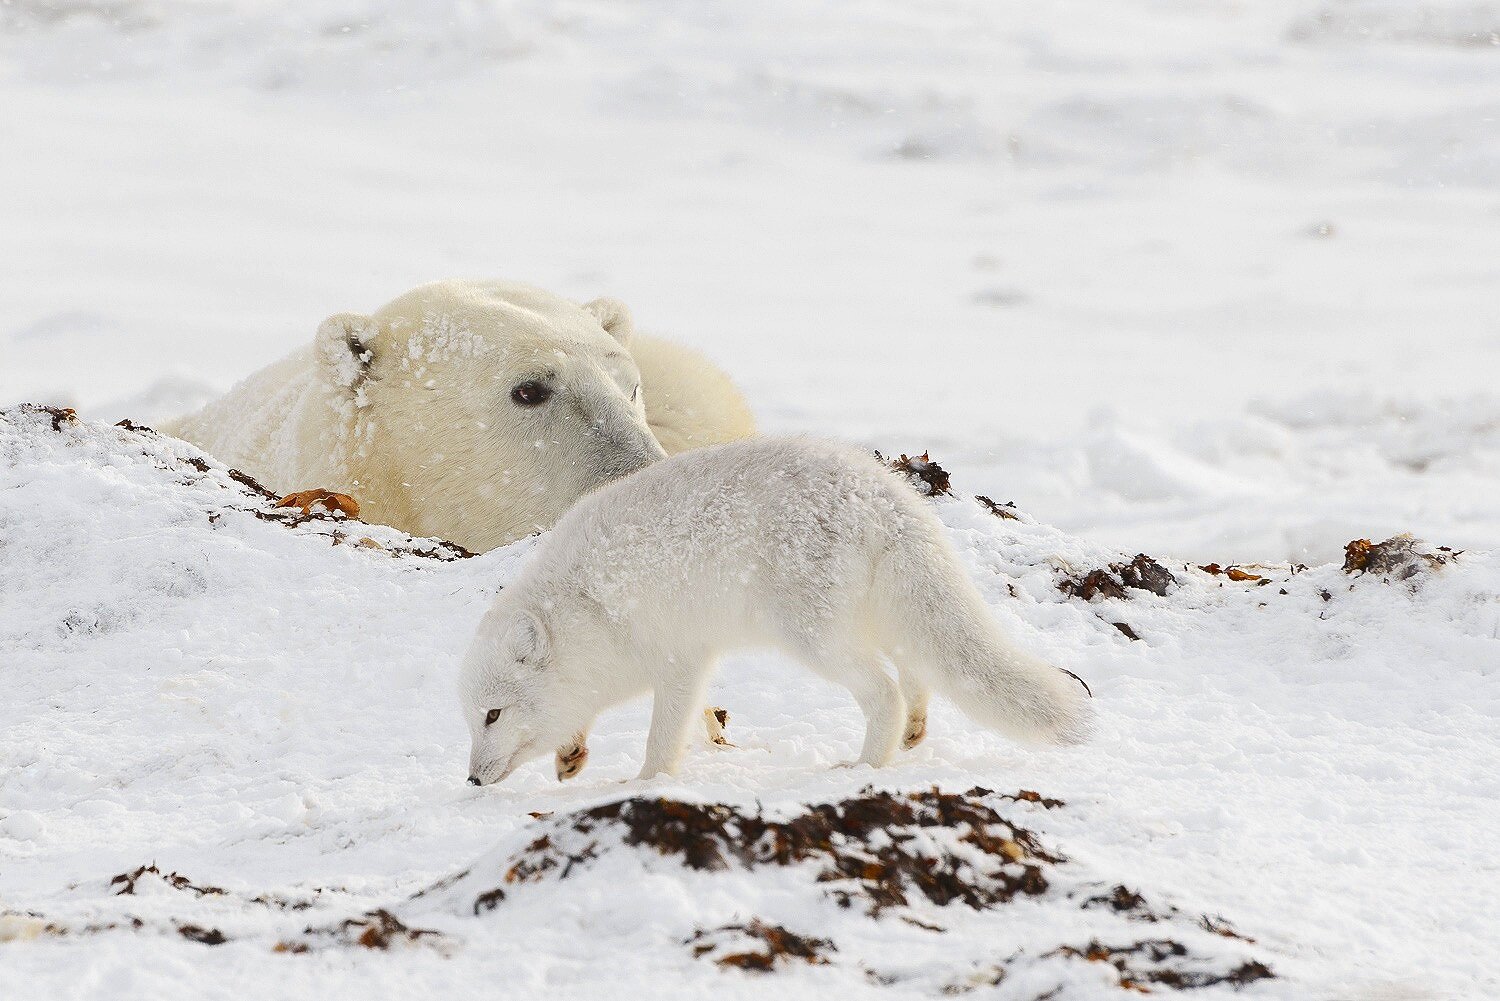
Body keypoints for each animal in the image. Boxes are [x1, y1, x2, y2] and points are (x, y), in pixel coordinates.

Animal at [456, 435, 1092, 786]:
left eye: (492, 715)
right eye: (471, 720)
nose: (473, 780)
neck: (585, 610)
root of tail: (886, 497)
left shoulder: (678, 657)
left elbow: (664, 737)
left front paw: (644, 785)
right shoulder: (685, 661)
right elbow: (695, 715)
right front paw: (572, 754)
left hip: (812, 636)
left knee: (884, 689)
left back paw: (866, 766)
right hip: (873, 617)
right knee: (914, 671)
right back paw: (912, 733)